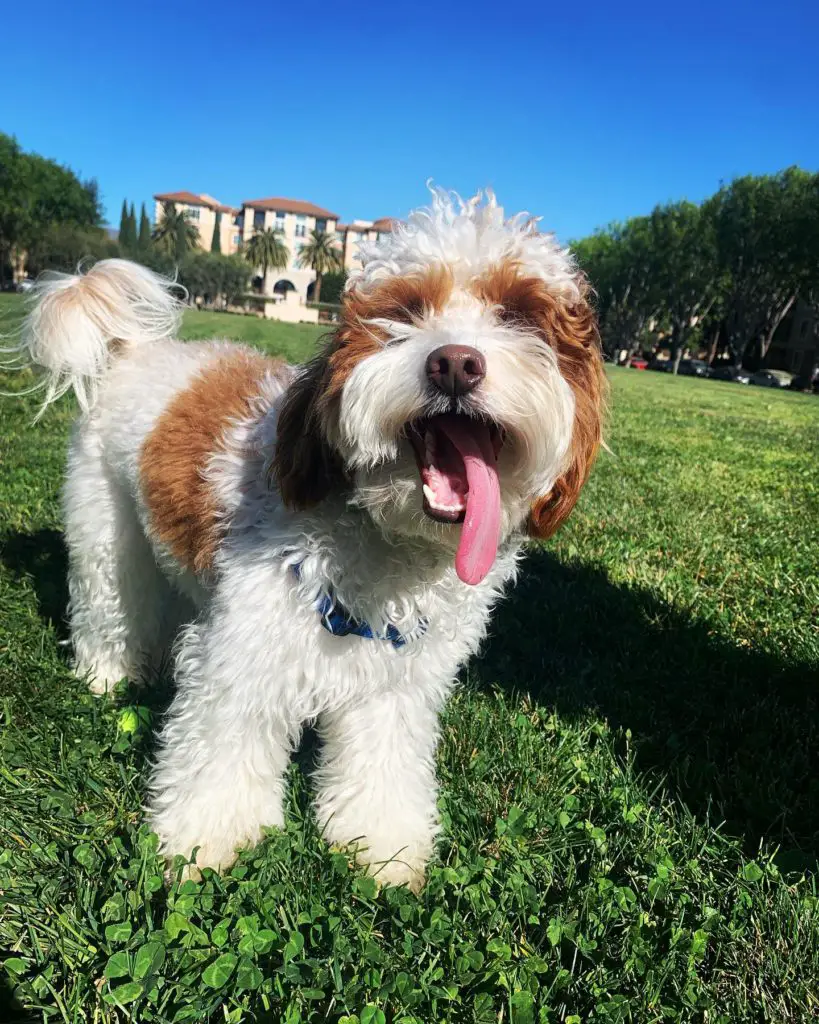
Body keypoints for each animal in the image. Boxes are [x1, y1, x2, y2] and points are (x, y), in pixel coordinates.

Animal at [19, 190, 606, 888]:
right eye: (405, 310)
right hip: (104, 526)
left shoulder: (400, 682)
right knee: (110, 602)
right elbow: (221, 746)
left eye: (520, 315)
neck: (386, 539)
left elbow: (383, 760)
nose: (455, 363)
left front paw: (383, 842)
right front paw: (203, 840)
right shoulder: (243, 651)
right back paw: (110, 673)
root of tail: (133, 351)